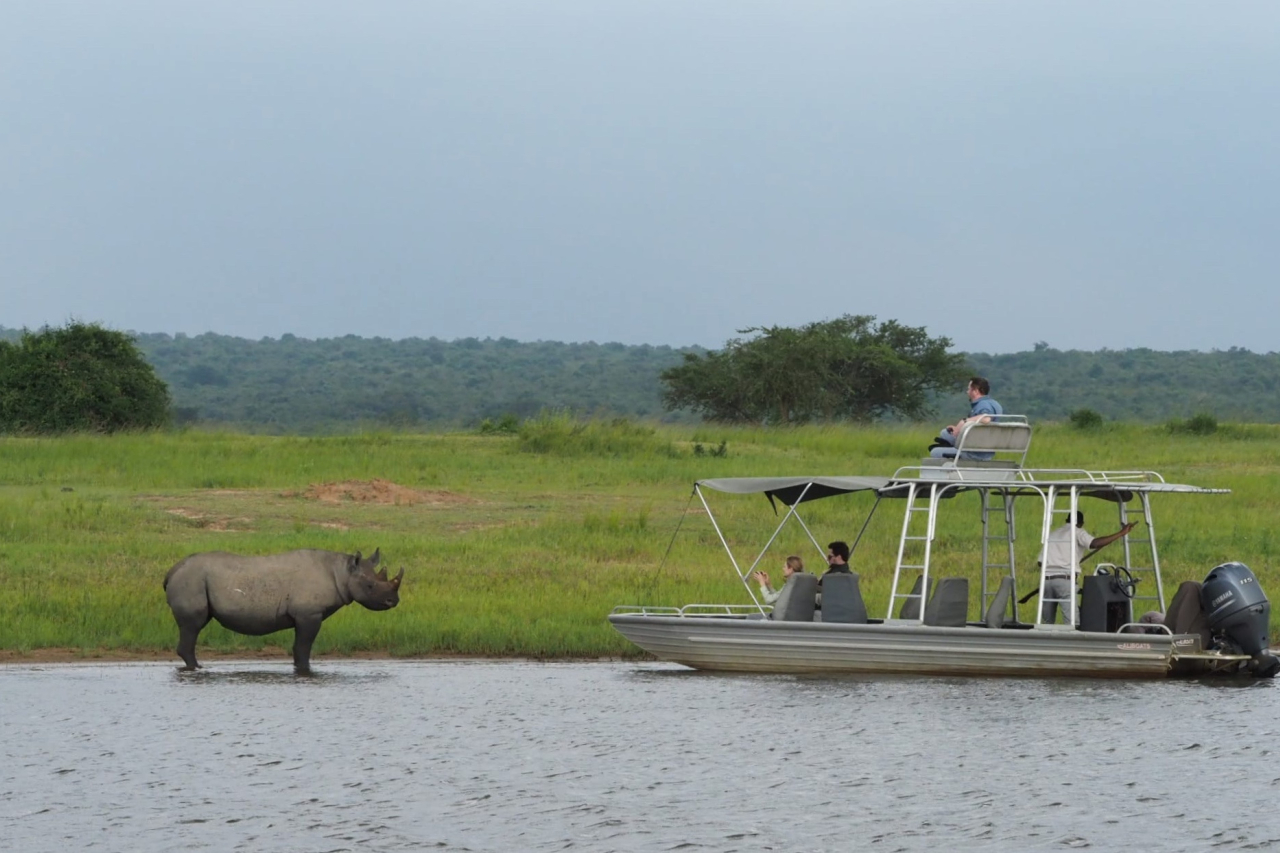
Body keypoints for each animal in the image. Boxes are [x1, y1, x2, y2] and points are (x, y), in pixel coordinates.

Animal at [163, 548, 403, 674]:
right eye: (370, 586)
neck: (342, 573)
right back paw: (198, 668)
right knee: (192, 625)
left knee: (194, 626)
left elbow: (298, 648)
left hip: (193, 579)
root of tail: (171, 571)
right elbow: (304, 647)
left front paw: (299, 669)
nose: (393, 601)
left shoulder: (304, 616)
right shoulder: (309, 614)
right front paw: (305, 670)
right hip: (191, 580)